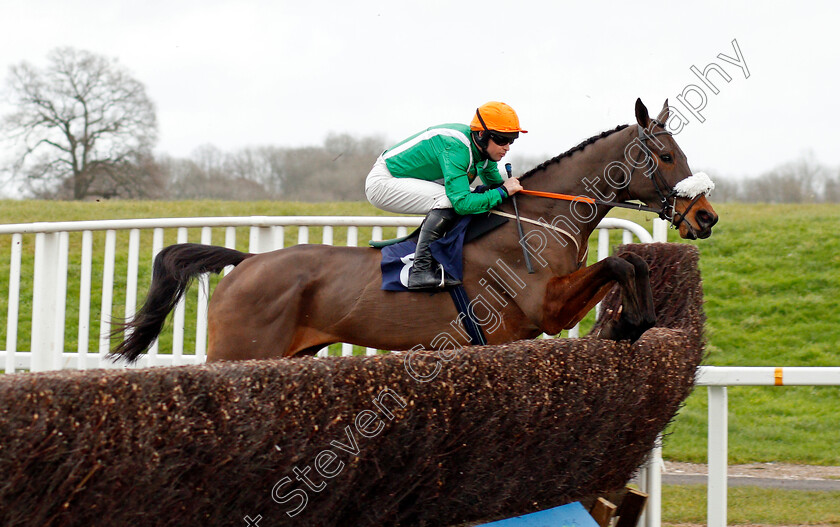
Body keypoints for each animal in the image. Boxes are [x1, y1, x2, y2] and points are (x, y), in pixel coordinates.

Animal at [108, 98, 720, 364]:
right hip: (239, 355)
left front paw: (632, 323)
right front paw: (627, 323)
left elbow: (631, 262)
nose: (706, 216)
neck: (541, 221)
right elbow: (619, 262)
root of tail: (247, 262)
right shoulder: (545, 308)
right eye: (667, 155)